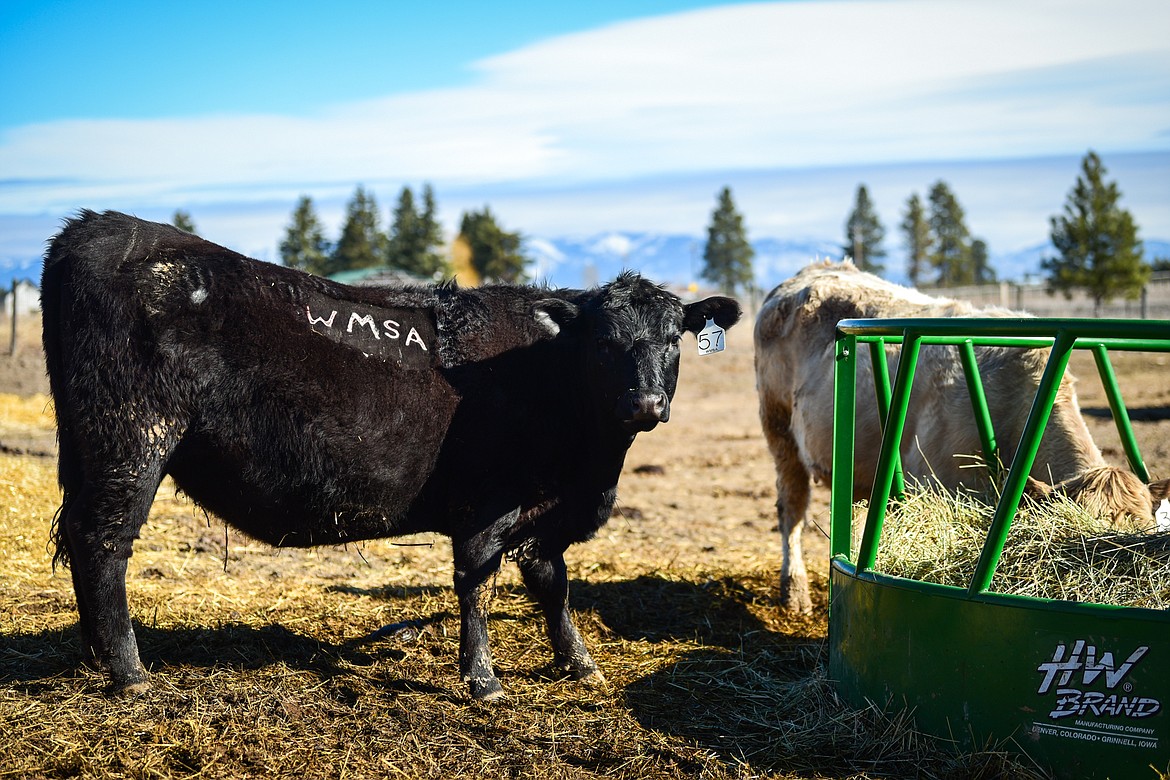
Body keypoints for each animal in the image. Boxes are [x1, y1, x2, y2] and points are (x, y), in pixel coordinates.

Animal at [45, 211, 739, 701]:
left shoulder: (544, 514)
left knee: (81, 540)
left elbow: (551, 583)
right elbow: (476, 582)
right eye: (603, 343)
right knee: (102, 541)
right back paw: (130, 671)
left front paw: (579, 663)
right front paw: (483, 681)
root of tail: (99, 224)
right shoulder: (486, 504)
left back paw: (95, 658)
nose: (645, 402)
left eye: (672, 340)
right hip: (132, 441)